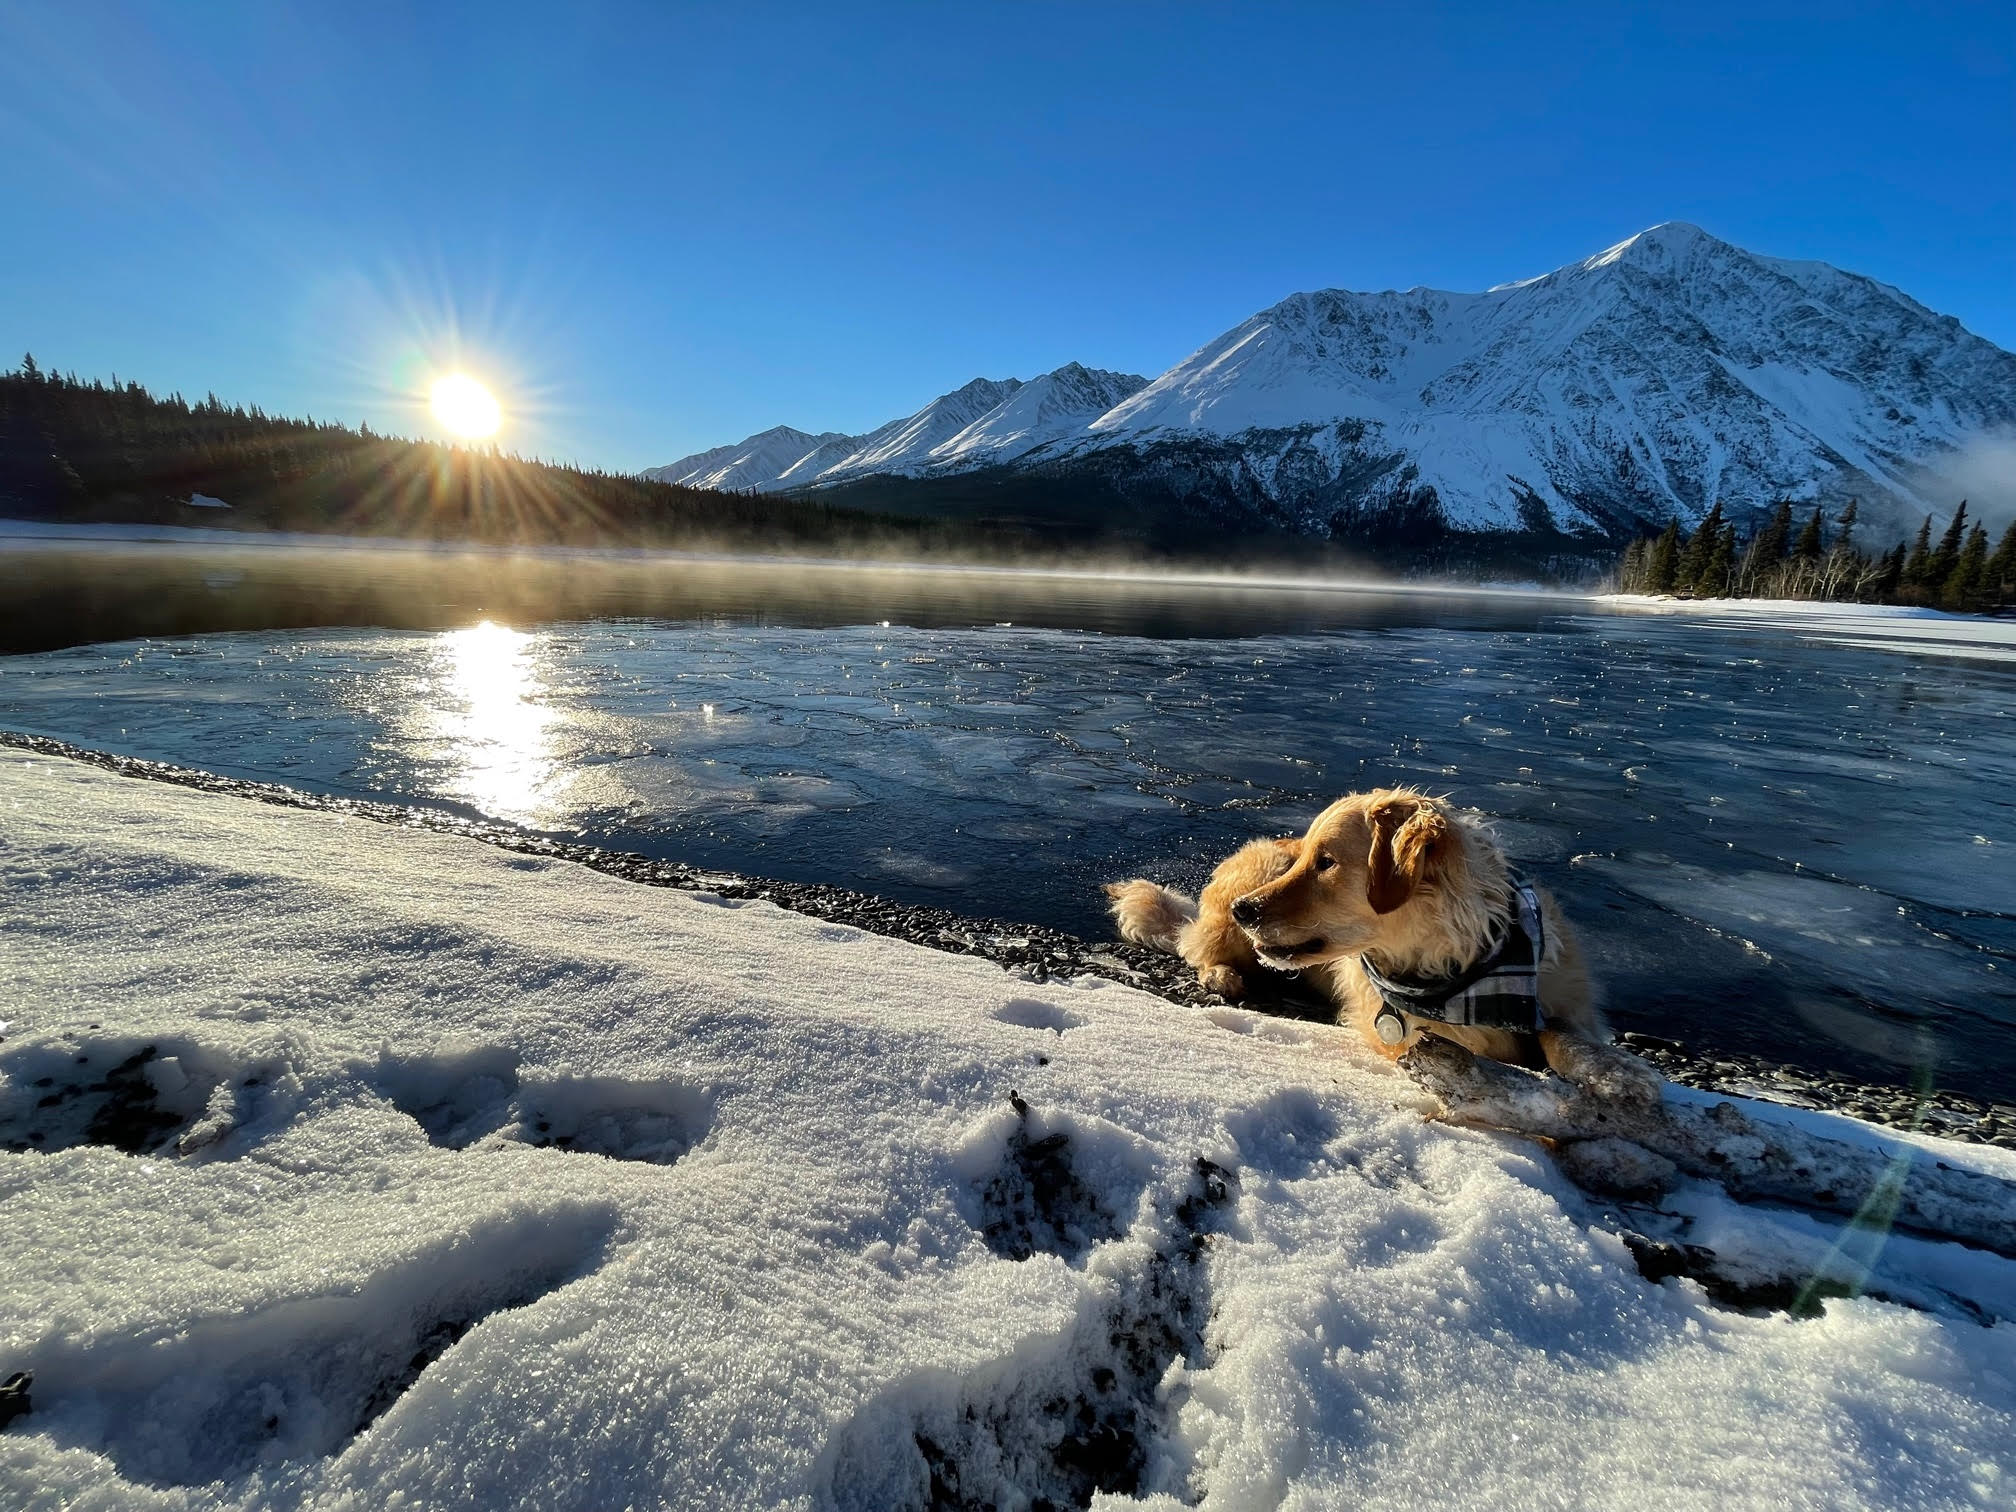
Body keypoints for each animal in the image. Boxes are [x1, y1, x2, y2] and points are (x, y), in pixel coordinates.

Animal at [1112, 794, 1661, 1104]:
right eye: (1307, 857)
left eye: (1326, 862)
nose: (1244, 911)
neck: (1458, 967)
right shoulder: (1402, 1034)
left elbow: (1561, 1032)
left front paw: (1616, 1072)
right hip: (1254, 874)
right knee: (1200, 948)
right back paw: (1222, 974)